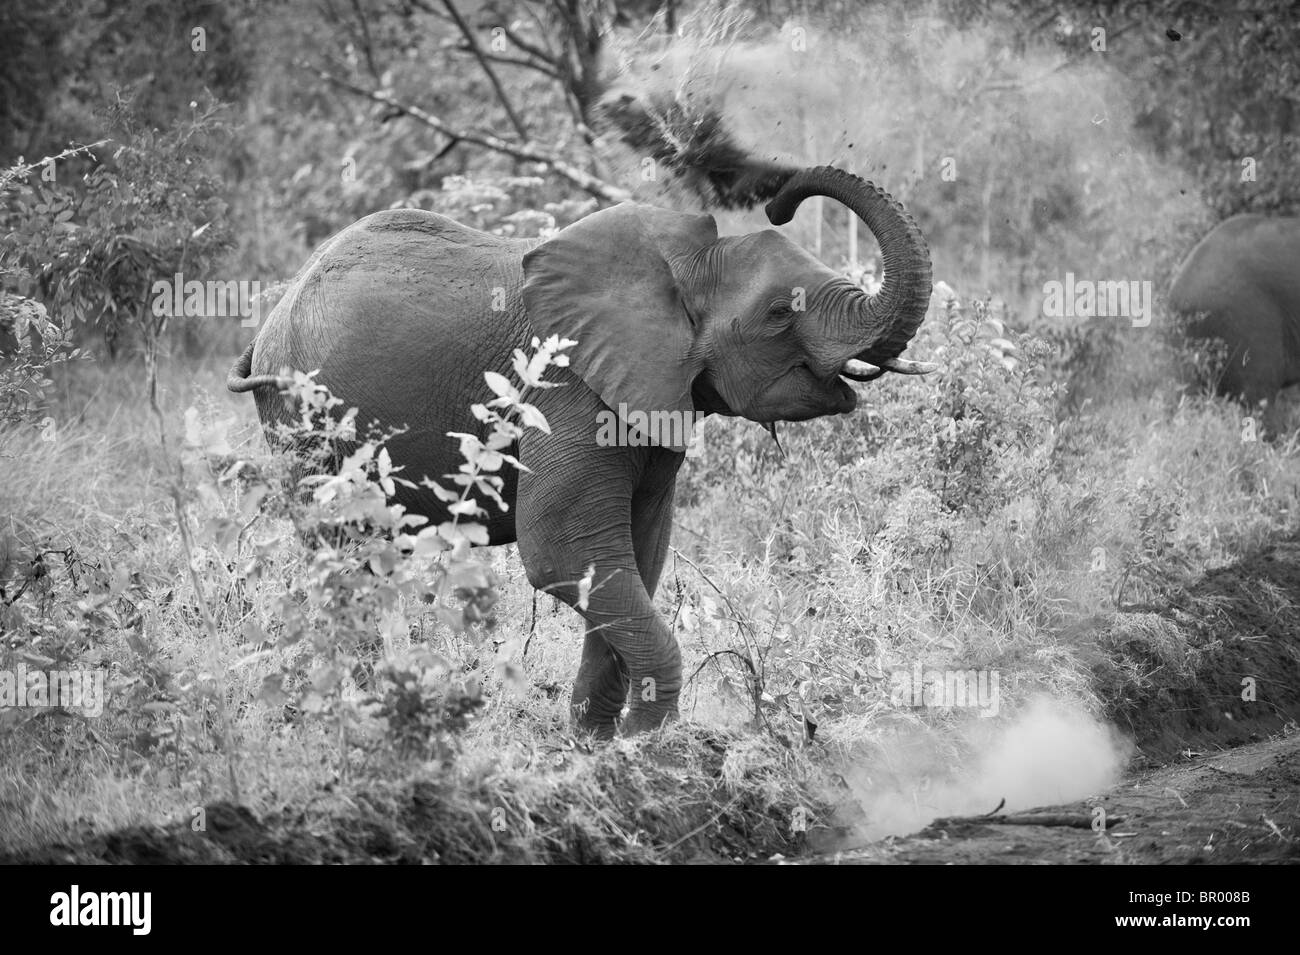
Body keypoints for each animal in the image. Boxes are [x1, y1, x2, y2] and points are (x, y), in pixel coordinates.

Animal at [231, 164, 935, 738]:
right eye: (780, 314)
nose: (781, 200)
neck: (686, 263)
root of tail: (272, 316)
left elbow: (634, 557)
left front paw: (596, 744)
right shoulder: (567, 387)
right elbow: (564, 551)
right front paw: (647, 744)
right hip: (303, 421)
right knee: (342, 554)